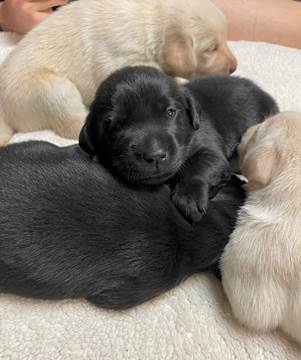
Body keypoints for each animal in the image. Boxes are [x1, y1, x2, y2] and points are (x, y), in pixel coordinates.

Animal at [0, 0, 236, 146]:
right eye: (211, 48)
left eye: (225, 38)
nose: (234, 67)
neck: (151, 19)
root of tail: (4, 112)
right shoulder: (123, 58)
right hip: (54, 89)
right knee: (72, 124)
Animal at [79, 65, 276, 222]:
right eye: (116, 125)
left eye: (171, 112)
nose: (155, 155)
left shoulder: (208, 145)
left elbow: (198, 166)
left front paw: (189, 197)